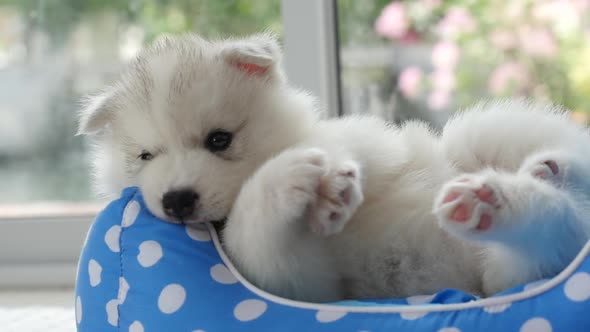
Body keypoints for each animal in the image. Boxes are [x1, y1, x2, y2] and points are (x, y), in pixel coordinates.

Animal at [77, 33, 590, 304]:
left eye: (219, 139)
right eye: (145, 156)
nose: (177, 200)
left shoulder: (363, 139)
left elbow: (340, 147)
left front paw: (325, 181)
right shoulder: (306, 283)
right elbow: (257, 234)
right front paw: (290, 183)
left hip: (476, 134)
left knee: (567, 160)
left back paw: (550, 168)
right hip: (505, 275)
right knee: (553, 228)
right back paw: (496, 200)